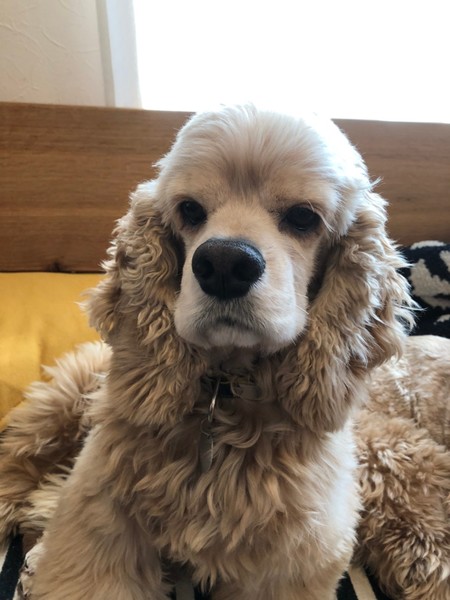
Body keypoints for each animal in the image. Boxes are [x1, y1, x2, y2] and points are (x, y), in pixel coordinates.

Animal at [0, 105, 414, 599]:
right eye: (190, 210)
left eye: (303, 217)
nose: (224, 264)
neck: (224, 397)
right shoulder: (99, 527)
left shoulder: (285, 564)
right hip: (60, 405)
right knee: (17, 459)